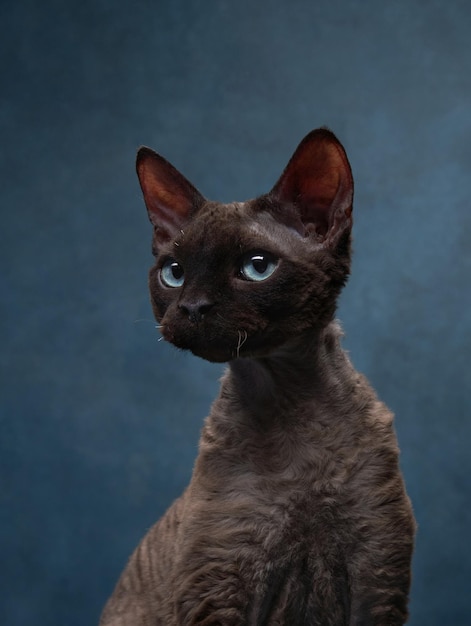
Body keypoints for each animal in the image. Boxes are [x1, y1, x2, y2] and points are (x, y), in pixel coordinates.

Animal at [99, 128, 416, 624]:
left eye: (257, 266)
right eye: (174, 273)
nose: (193, 307)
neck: (282, 392)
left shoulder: (378, 582)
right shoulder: (218, 585)